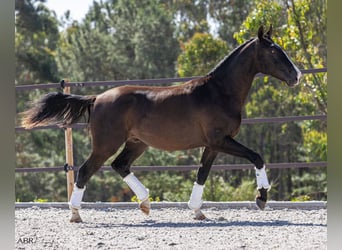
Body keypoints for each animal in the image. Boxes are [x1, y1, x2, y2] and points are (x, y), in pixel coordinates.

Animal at [21, 24, 300, 222]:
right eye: (274, 51)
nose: (296, 75)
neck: (219, 91)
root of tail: (97, 97)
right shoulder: (221, 140)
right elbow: (257, 157)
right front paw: (261, 197)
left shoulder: (212, 145)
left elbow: (202, 174)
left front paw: (197, 211)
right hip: (106, 144)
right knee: (84, 171)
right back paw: (76, 214)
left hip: (137, 143)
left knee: (120, 165)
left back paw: (145, 204)